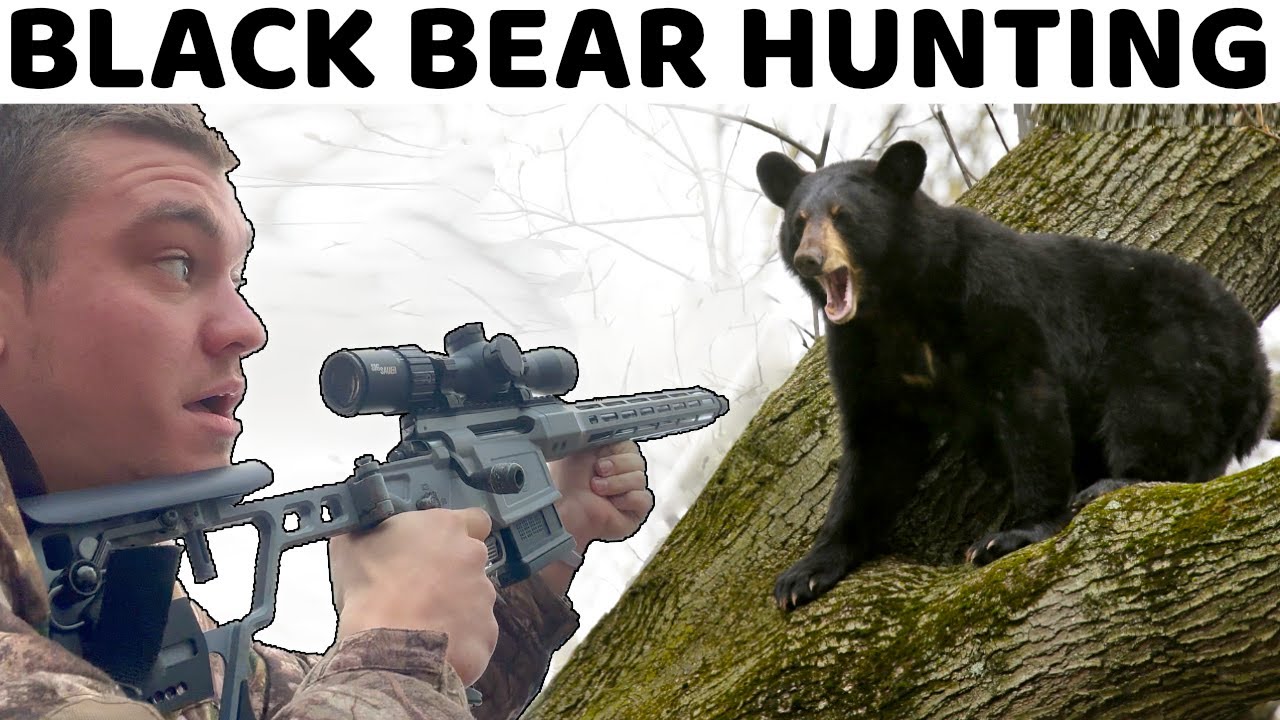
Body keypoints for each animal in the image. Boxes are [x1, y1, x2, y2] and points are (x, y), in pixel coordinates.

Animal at [757, 140, 1273, 612]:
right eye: (799, 222)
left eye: (843, 216)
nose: (809, 259)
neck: (897, 305)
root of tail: (1256, 365)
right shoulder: (860, 350)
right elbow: (876, 446)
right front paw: (805, 574)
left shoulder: (992, 300)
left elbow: (1029, 402)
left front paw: (1012, 534)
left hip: (1174, 345)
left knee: (1152, 409)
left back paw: (1117, 482)